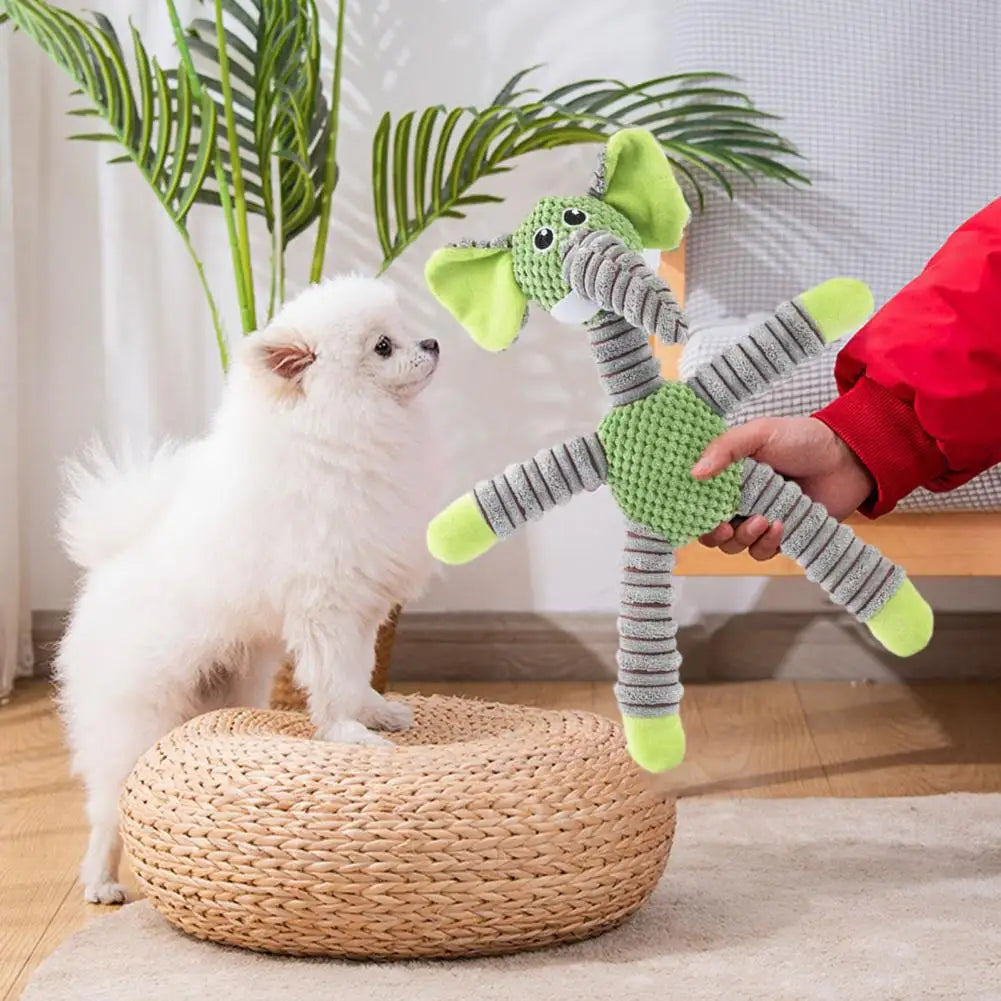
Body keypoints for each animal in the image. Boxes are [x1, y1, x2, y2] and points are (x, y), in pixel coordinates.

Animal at [55, 276, 442, 908]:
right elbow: (333, 681)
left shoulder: (361, 607)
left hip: (222, 683)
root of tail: (108, 563)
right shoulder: (327, 607)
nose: (432, 342)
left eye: (405, 330)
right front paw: (348, 734)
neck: (340, 437)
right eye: (383, 346)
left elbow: (357, 672)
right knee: (108, 806)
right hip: (134, 714)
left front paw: (375, 712)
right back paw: (101, 881)